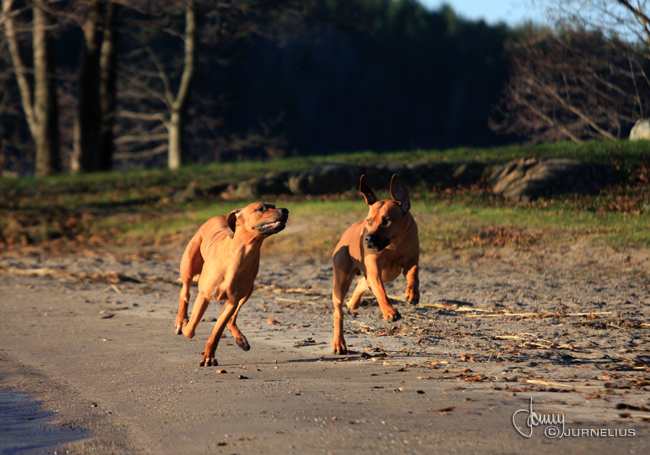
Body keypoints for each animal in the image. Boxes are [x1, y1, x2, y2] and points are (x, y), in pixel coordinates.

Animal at [176, 203, 290, 366]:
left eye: (273, 206)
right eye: (261, 208)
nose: (285, 210)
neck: (241, 252)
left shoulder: (232, 301)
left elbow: (217, 332)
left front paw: (209, 356)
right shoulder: (204, 296)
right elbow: (190, 330)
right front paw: (186, 325)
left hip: (249, 289)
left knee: (231, 319)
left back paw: (240, 339)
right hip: (189, 266)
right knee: (185, 291)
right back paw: (181, 320)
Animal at [332, 175, 418, 356]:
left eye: (387, 221)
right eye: (370, 221)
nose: (368, 239)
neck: (393, 245)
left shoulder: (411, 260)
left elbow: (414, 274)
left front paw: (412, 294)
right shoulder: (374, 271)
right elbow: (381, 292)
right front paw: (390, 312)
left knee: (362, 283)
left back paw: (353, 302)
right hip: (341, 280)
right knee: (338, 312)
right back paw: (339, 343)